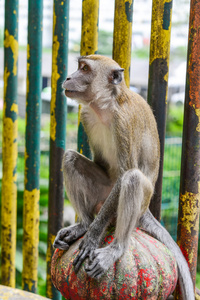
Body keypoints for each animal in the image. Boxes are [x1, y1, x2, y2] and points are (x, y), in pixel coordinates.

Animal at [54, 55, 195, 298]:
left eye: (85, 69)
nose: (69, 77)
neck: (106, 106)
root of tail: (146, 210)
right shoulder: (86, 115)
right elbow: (99, 163)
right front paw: (88, 229)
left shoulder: (124, 121)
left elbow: (124, 174)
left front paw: (94, 235)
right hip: (102, 194)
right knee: (70, 159)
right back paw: (85, 224)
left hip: (137, 204)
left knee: (133, 179)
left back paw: (115, 247)